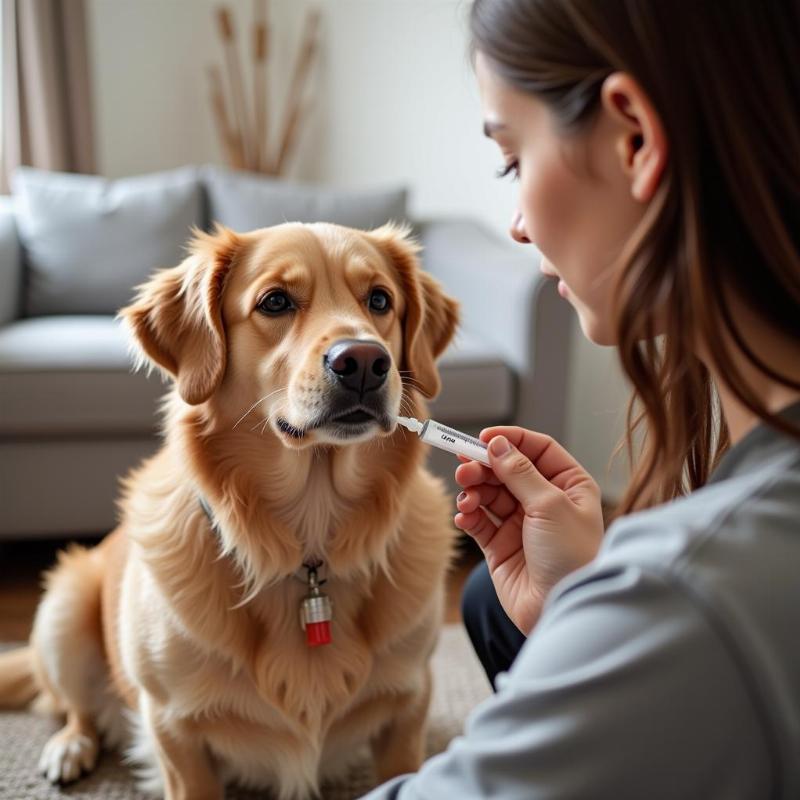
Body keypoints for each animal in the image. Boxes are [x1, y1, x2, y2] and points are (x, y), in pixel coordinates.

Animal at [0, 222, 460, 800]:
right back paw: (70, 747)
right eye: (275, 301)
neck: (310, 544)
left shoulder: (409, 705)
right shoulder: (174, 729)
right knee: (72, 707)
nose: (363, 362)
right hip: (64, 606)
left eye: (379, 300)